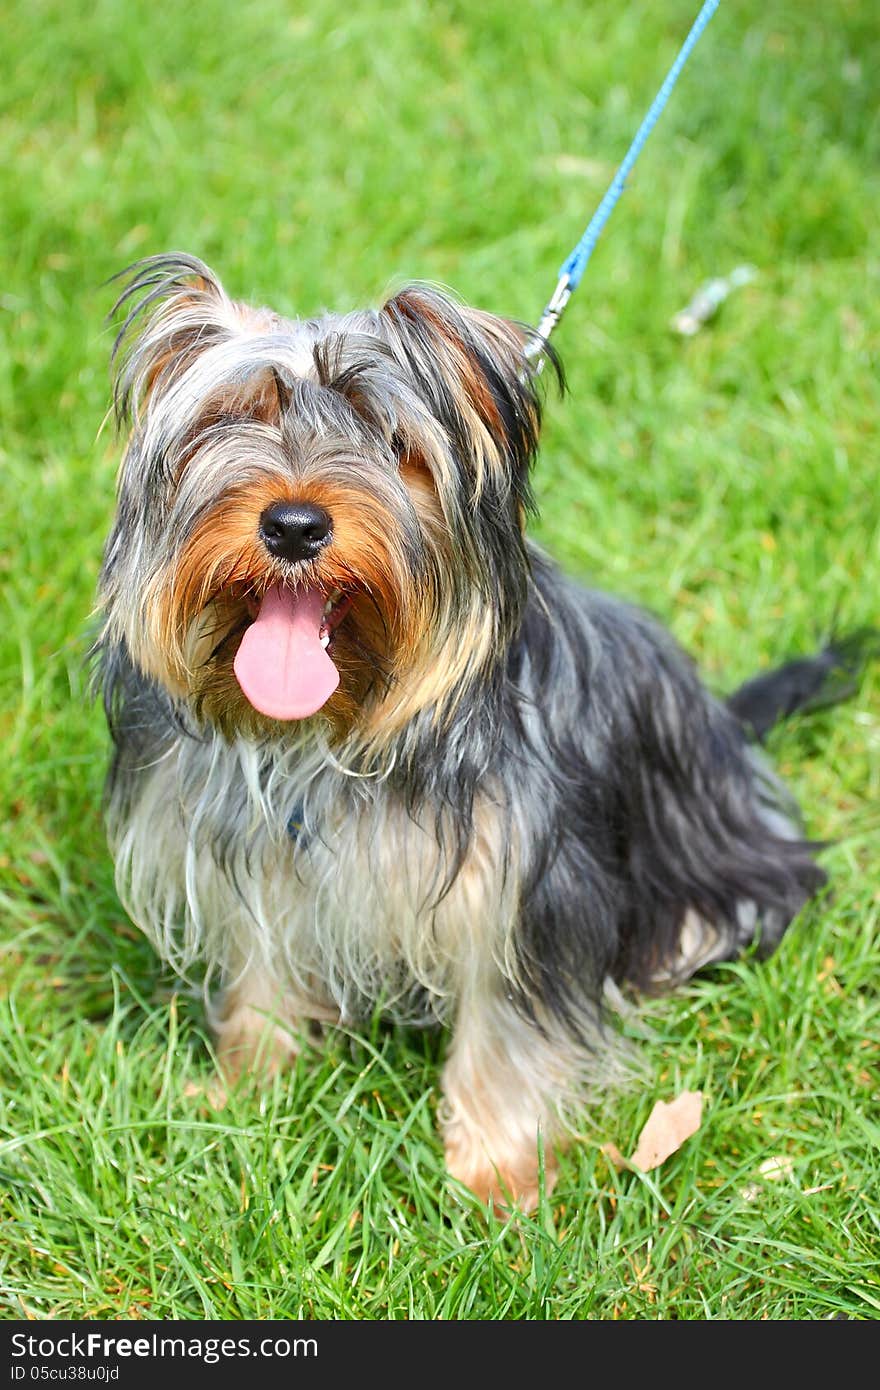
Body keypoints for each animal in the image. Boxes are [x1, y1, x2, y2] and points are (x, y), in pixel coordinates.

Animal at [94, 255, 856, 1212]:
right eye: (232, 419)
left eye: (393, 442)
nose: (294, 525)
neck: (331, 733)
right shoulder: (255, 851)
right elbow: (262, 965)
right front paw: (246, 1088)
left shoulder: (525, 886)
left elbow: (505, 1026)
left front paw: (492, 1171)